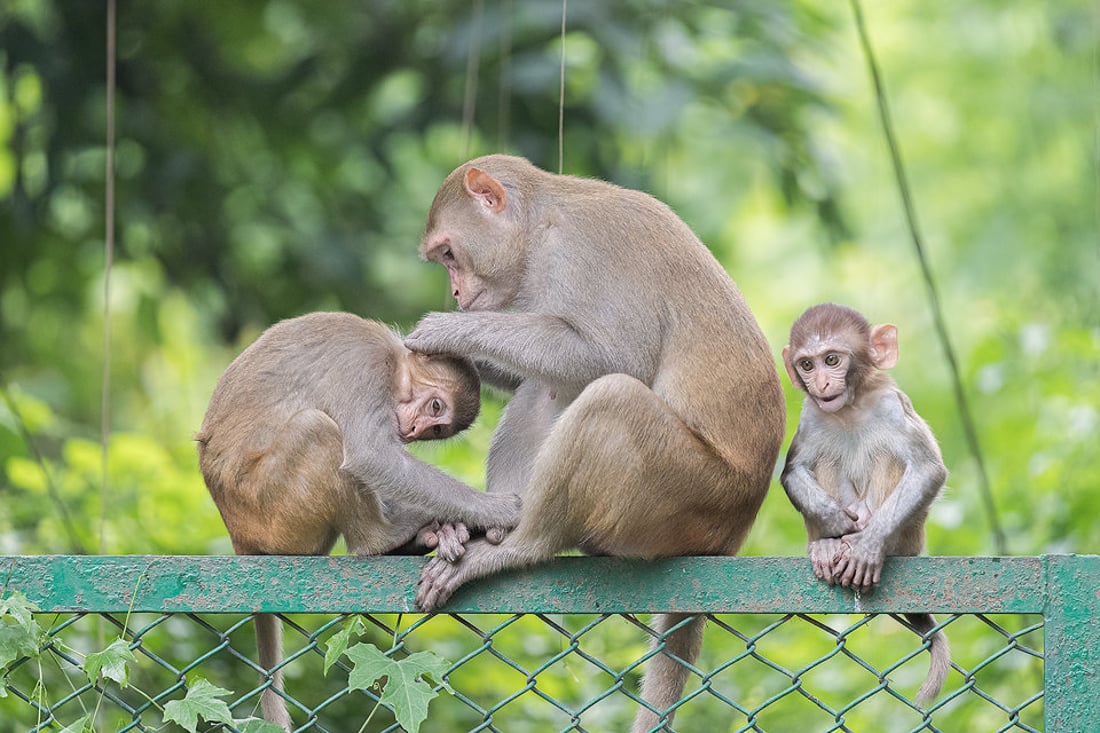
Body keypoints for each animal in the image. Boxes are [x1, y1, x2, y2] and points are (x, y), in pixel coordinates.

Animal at [194, 310, 519, 726]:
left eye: (436, 429)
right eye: (436, 408)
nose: (414, 430)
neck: (394, 360)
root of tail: (238, 534)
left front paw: (450, 525)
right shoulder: (366, 366)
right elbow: (371, 455)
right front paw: (496, 510)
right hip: (274, 516)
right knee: (316, 428)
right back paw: (382, 539)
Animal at [409, 150, 787, 726]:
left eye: (448, 253)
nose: (454, 292)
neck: (539, 228)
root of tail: (732, 534)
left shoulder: (584, 251)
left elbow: (613, 358)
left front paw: (443, 330)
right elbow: (530, 378)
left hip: (684, 499)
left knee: (609, 398)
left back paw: (517, 546)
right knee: (543, 390)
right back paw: (487, 525)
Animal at [778, 301, 950, 704]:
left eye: (832, 359)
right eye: (807, 365)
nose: (822, 384)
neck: (850, 408)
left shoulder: (891, 404)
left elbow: (927, 469)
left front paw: (867, 547)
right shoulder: (811, 414)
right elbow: (793, 471)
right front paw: (837, 524)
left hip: (911, 538)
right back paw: (827, 544)